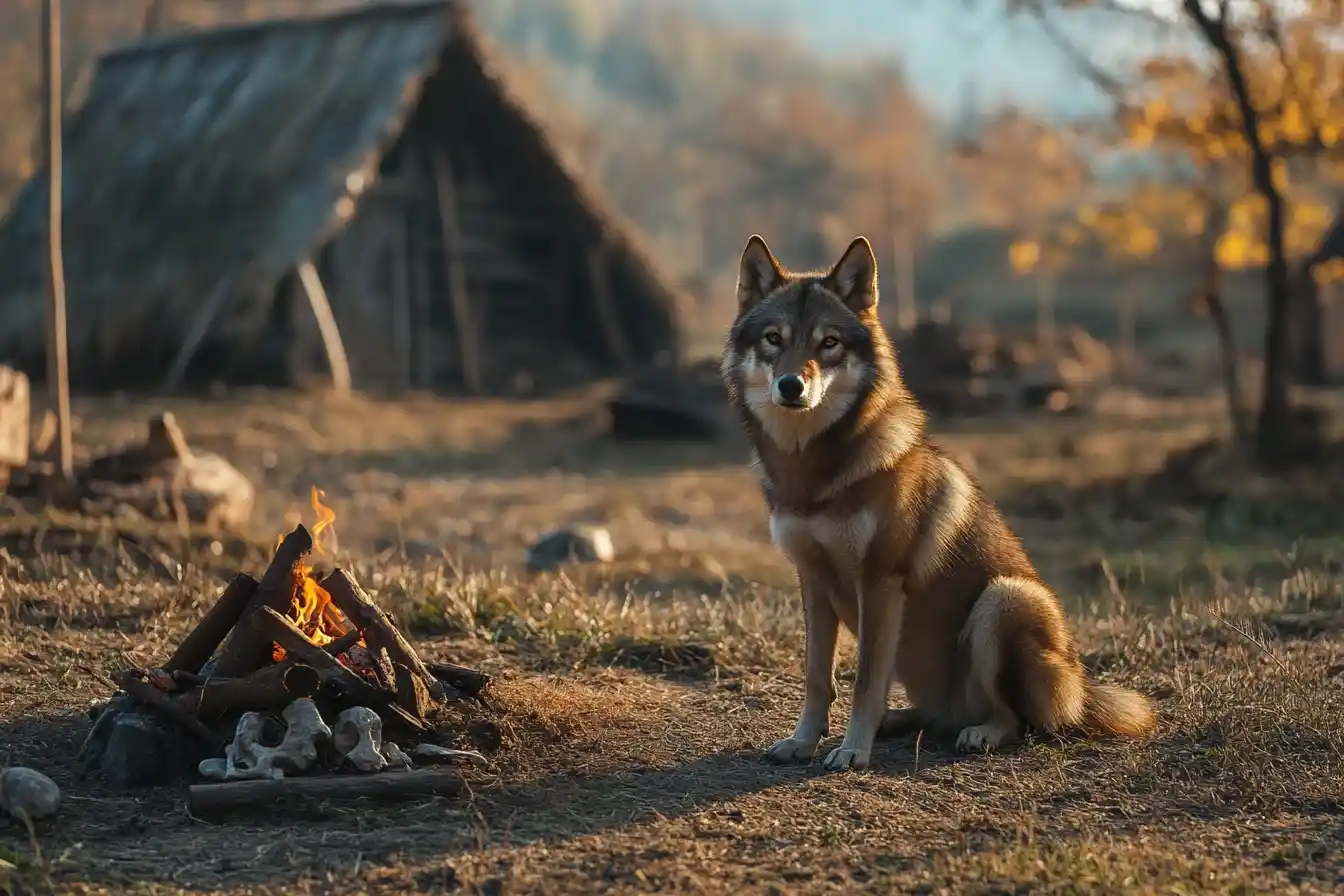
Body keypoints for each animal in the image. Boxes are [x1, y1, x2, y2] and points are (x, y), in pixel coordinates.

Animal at [725, 236, 1155, 773]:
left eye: (829, 343)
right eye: (773, 339)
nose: (791, 386)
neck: (812, 472)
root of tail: (1080, 688)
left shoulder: (880, 581)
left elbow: (864, 681)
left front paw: (853, 750)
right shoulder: (812, 579)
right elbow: (816, 678)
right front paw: (803, 741)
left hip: (1005, 599)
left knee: (1014, 719)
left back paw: (980, 733)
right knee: (934, 713)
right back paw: (900, 721)